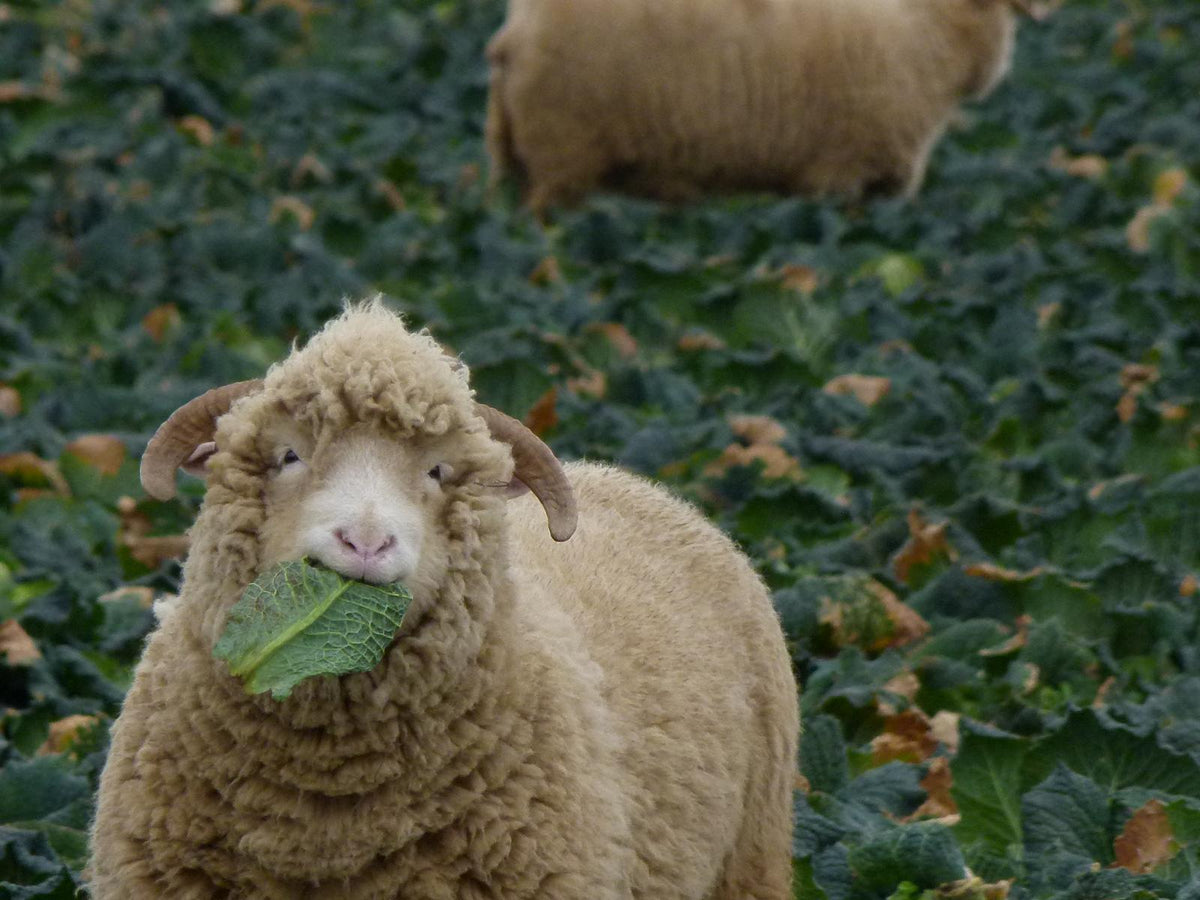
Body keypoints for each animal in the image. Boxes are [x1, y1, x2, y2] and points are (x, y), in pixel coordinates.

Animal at [89, 300, 799, 899]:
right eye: (288, 454)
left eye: (437, 471)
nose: (366, 541)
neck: (328, 804)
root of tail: (631, 480)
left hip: (752, 858)